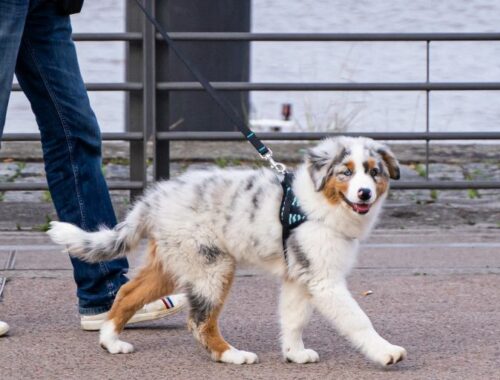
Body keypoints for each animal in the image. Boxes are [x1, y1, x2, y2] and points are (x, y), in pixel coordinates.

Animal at [47, 136, 406, 366]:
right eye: (346, 172)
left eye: (374, 172)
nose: (364, 194)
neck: (320, 202)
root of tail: (154, 200)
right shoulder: (324, 280)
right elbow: (358, 320)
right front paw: (385, 351)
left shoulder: (300, 275)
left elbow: (294, 318)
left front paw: (294, 353)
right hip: (212, 266)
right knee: (199, 321)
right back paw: (232, 355)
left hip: (175, 261)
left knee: (127, 293)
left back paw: (110, 340)